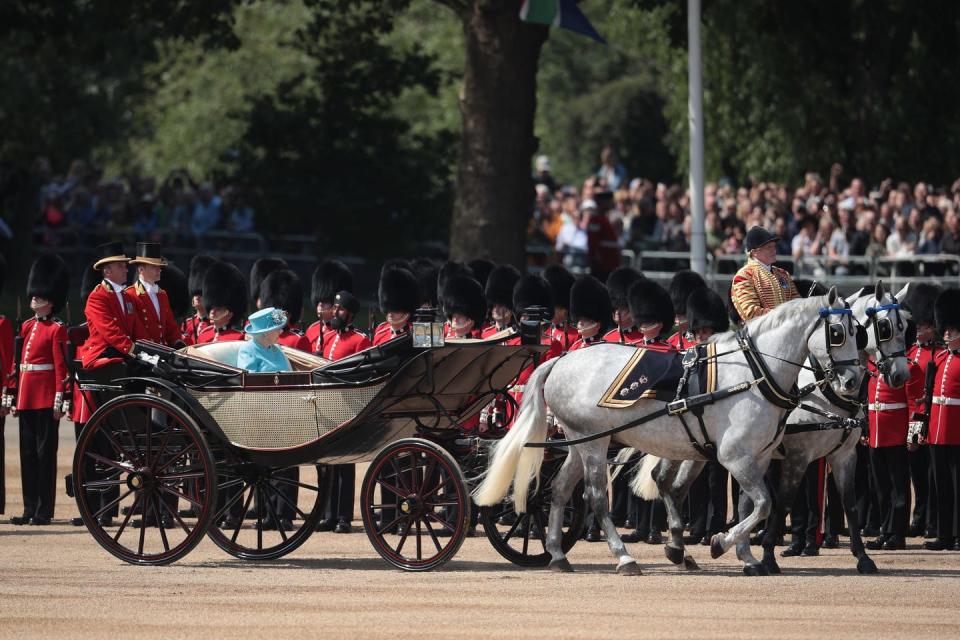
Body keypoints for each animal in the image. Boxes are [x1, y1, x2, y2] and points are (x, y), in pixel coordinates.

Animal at [476, 290, 860, 576]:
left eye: (860, 331)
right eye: (839, 333)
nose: (853, 382)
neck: (754, 373)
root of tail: (562, 359)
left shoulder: (758, 457)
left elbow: (751, 505)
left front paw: (747, 558)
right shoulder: (735, 457)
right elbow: (764, 504)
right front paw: (720, 544)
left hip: (580, 443)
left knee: (557, 490)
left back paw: (557, 554)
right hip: (595, 444)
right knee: (596, 497)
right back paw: (624, 557)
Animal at [632, 280, 912, 576]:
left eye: (905, 327)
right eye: (885, 327)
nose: (900, 376)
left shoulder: (844, 455)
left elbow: (849, 504)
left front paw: (862, 557)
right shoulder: (797, 457)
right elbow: (783, 503)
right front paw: (767, 556)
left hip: (696, 448)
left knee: (674, 485)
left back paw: (682, 549)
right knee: (666, 481)